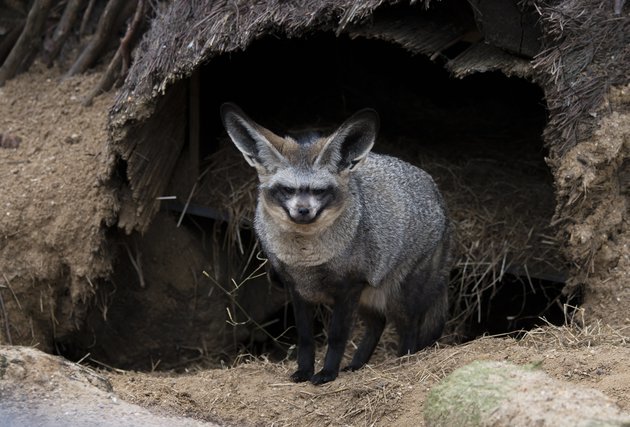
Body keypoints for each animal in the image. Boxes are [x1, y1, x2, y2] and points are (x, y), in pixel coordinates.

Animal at [220, 104, 452, 388]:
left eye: (320, 191)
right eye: (287, 190)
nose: (303, 211)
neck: (306, 259)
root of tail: (434, 187)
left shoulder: (348, 288)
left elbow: (337, 337)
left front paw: (327, 373)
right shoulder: (297, 289)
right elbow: (305, 338)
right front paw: (304, 371)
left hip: (401, 295)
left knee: (409, 328)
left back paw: (402, 361)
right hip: (370, 297)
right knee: (377, 324)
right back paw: (356, 366)